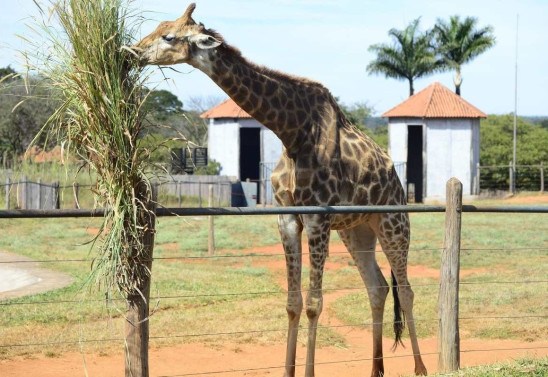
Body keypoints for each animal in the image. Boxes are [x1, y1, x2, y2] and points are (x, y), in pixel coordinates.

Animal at [134, 3, 428, 376]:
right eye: (158, 28)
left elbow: (314, 303)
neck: (293, 133)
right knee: (377, 286)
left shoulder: (317, 218)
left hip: (393, 222)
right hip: (357, 229)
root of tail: (396, 179)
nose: (133, 51)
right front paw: (288, 370)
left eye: (169, 36)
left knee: (406, 289)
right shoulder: (287, 218)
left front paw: (308, 371)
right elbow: (292, 302)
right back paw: (376, 369)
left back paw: (421, 367)